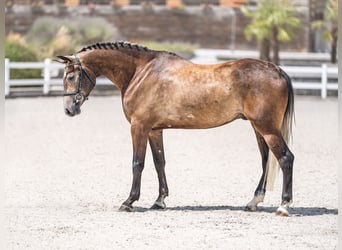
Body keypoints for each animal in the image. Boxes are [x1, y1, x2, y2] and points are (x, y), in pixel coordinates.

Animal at [56, 41, 294, 217]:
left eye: (70, 76)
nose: (68, 109)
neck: (140, 72)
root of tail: (277, 69)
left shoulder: (139, 127)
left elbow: (137, 163)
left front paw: (129, 201)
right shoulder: (154, 130)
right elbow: (159, 162)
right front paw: (160, 200)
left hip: (267, 128)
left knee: (285, 158)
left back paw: (283, 206)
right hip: (258, 128)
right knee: (266, 161)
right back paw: (254, 201)